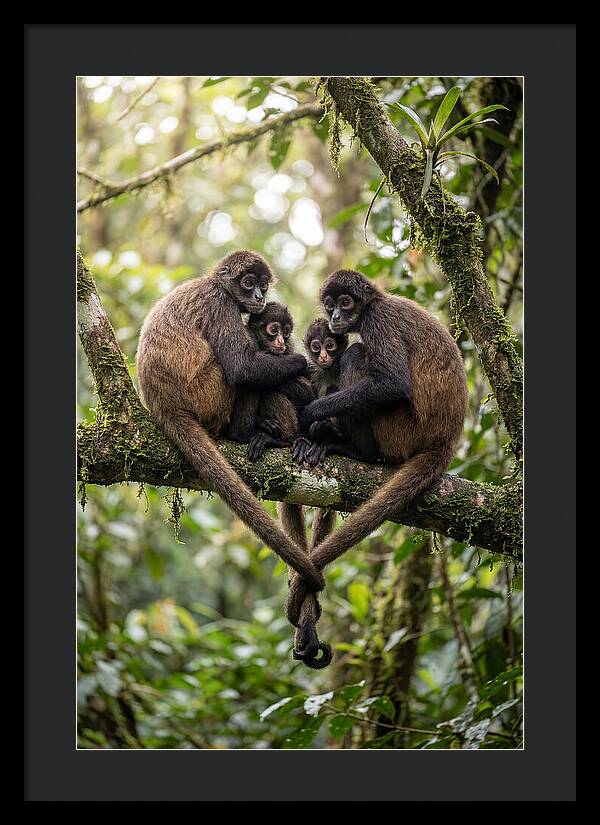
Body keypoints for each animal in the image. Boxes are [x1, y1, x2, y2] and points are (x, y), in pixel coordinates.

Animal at [136, 251, 325, 594]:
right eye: (248, 283)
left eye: (263, 285)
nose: (259, 296)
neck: (214, 284)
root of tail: (163, 404)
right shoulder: (220, 304)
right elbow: (240, 367)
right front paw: (300, 362)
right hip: (208, 394)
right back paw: (244, 433)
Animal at [286, 269, 468, 627]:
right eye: (330, 305)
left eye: (346, 302)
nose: (336, 317)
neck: (376, 302)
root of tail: (445, 440)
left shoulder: (377, 320)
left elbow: (392, 383)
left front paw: (312, 416)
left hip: (400, 429)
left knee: (357, 354)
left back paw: (355, 451)